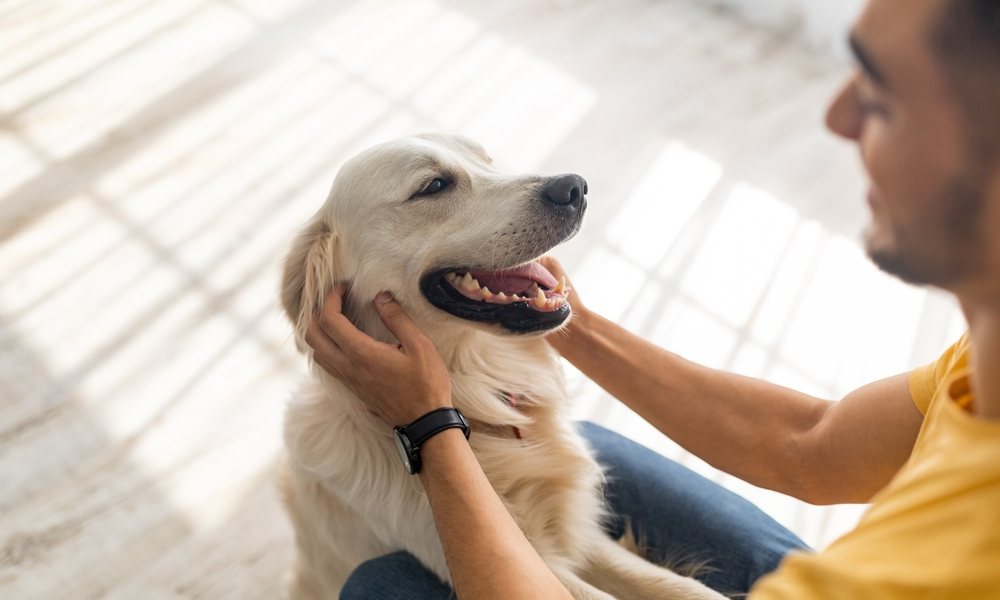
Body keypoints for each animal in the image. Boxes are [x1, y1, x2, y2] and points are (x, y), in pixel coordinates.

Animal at [278, 134, 724, 596]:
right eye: (433, 186)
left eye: (487, 160)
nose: (575, 188)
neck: (480, 403)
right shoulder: (532, 562)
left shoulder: (581, 532)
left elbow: (681, 587)